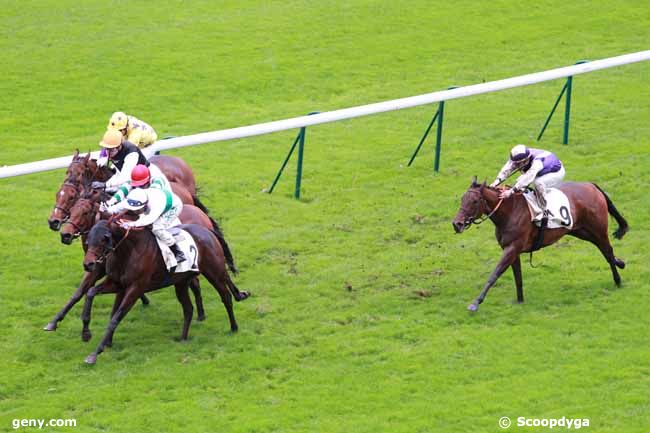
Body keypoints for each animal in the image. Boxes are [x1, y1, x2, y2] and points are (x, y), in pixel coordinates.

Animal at [83, 219, 248, 364]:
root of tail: (207, 230)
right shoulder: (117, 284)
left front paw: (95, 353)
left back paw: (234, 327)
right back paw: (183, 338)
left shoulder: (136, 288)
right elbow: (91, 292)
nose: (88, 264)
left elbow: (116, 317)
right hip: (181, 282)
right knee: (188, 308)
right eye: (87, 241)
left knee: (226, 297)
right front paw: (86, 333)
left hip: (214, 273)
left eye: (103, 239)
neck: (129, 251)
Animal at [448, 176, 624, 310]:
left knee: (607, 250)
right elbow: (517, 277)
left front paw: (475, 303)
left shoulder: (512, 248)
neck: (510, 211)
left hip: (598, 229)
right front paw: (520, 300)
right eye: (463, 199)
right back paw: (620, 263)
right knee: (604, 250)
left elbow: (495, 274)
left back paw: (618, 280)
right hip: (580, 231)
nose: (457, 224)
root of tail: (591, 185)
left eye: (474, 201)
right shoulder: (512, 250)